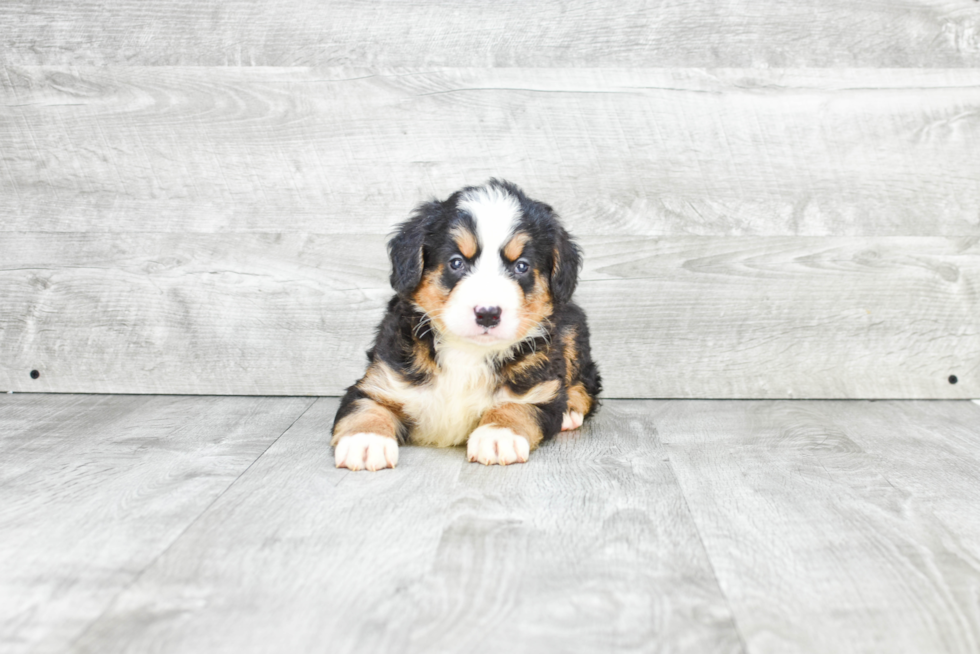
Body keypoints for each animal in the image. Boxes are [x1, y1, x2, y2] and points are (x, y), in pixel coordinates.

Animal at [334, 179, 600, 472]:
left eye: (521, 266)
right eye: (456, 262)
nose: (488, 314)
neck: (468, 352)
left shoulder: (539, 390)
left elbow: (516, 406)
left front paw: (499, 435)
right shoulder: (381, 380)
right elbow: (367, 407)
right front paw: (365, 441)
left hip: (573, 328)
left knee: (588, 382)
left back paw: (570, 411)